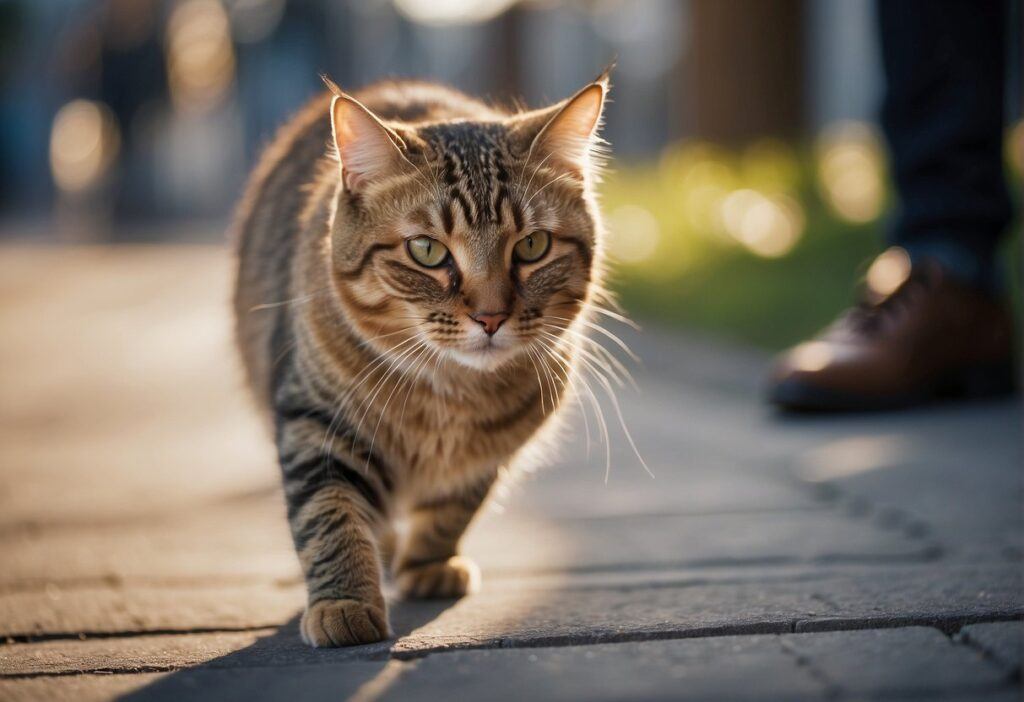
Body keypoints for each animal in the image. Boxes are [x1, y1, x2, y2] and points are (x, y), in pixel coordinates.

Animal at [233, 74, 610, 650]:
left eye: (533, 246)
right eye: (427, 251)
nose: (490, 316)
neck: (448, 393)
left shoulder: (493, 448)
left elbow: (453, 508)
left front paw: (430, 563)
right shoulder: (314, 421)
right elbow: (330, 514)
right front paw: (345, 601)